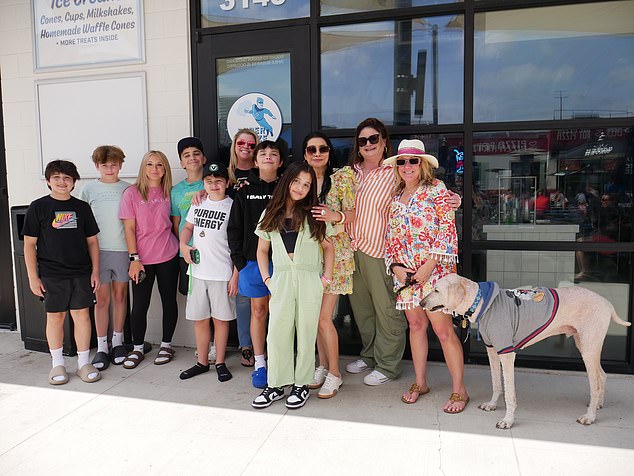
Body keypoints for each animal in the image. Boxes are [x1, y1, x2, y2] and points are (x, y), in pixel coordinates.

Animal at [418, 274, 628, 430]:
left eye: (436, 290)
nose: (420, 303)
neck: (482, 302)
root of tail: (606, 303)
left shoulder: (507, 354)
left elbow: (509, 393)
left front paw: (508, 421)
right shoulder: (492, 352)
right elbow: (496, 384)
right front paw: (492, 404)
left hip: (589, 347)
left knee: (596, 384)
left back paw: (590, 416)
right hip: (585, 345)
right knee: (602, 376)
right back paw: (598, 405)